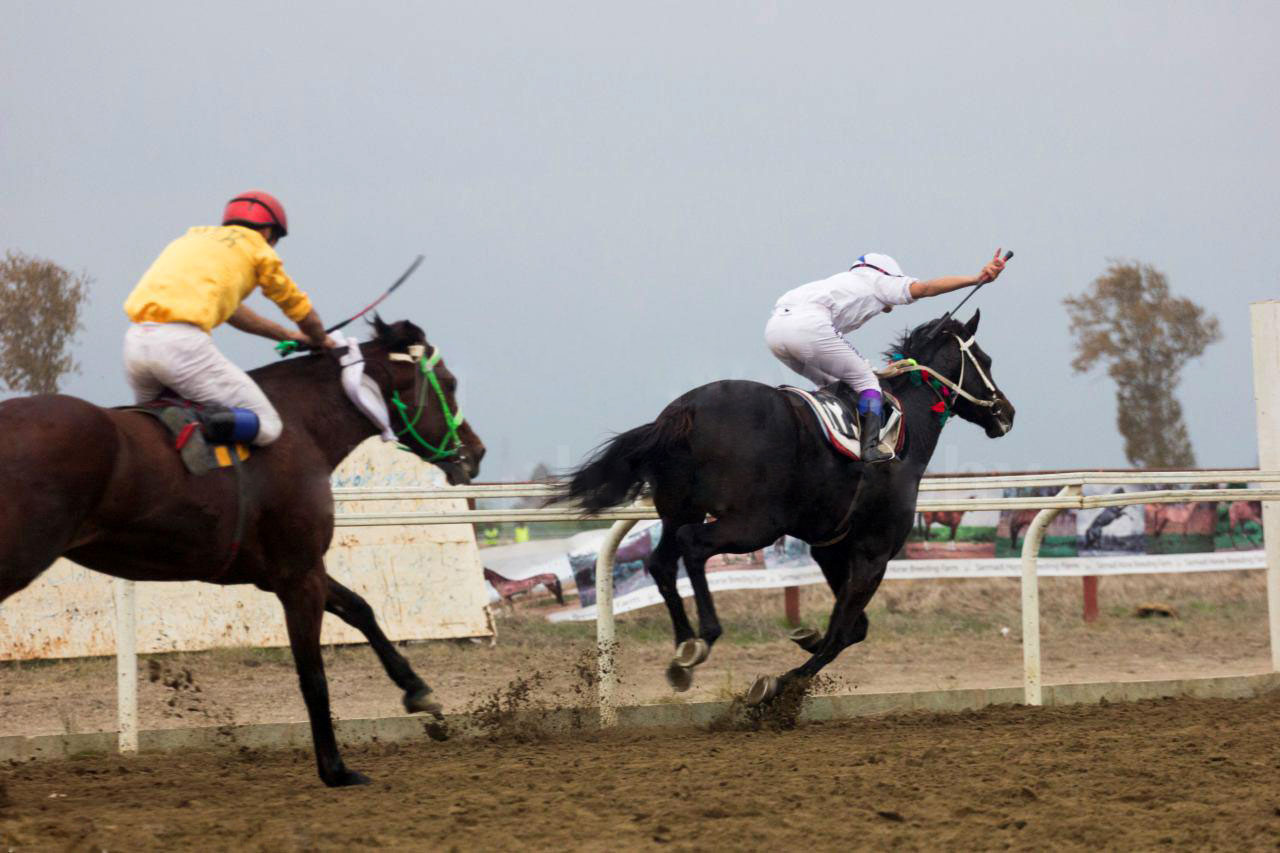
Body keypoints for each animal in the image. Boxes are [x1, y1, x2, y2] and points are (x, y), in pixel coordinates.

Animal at [0, 317, 483, 783]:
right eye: (450, 381)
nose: (475, 453)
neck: (299, 425)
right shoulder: (298, 574)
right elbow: (313, 674)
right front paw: (335, 769)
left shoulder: (284, 571)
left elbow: (360, 608)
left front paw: (418, 691)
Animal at [565, 308, 1013, 701]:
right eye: (987, 361)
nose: (1006, 412)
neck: (904, 432)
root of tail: (684, 411)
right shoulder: (875, 552)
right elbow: (842, 632)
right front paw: (782, 683)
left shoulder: (831, 549)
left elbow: (853, 627)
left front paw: (805, 637)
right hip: (756, 522)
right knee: (694, 546)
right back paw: (704, 638)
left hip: (678, 509)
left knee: (660, 563)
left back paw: (682, 650)